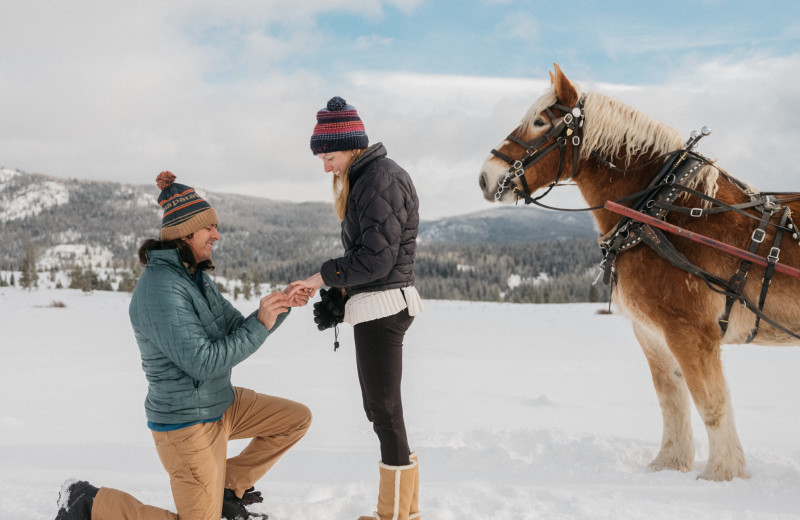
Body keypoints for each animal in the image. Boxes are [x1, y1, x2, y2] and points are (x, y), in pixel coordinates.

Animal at [478, 65, 800, 484]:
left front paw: (720, 474)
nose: (485, 177)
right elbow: (671, 398)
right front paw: (670, 463)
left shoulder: (691, 330)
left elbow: (711, 403)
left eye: (539, 122)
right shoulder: (652, 331)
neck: (663, 211)